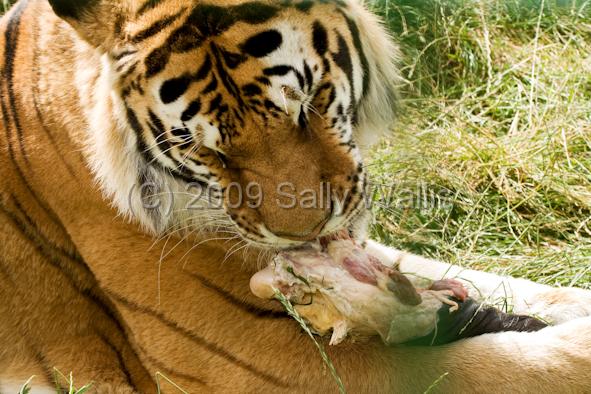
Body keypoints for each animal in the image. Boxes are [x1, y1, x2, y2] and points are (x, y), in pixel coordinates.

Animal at [1, 0, 591, 392]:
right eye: (207, 151)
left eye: (307, 104)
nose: (302, 234)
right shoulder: (261, 357)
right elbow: (502, 369)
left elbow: (512, 288)